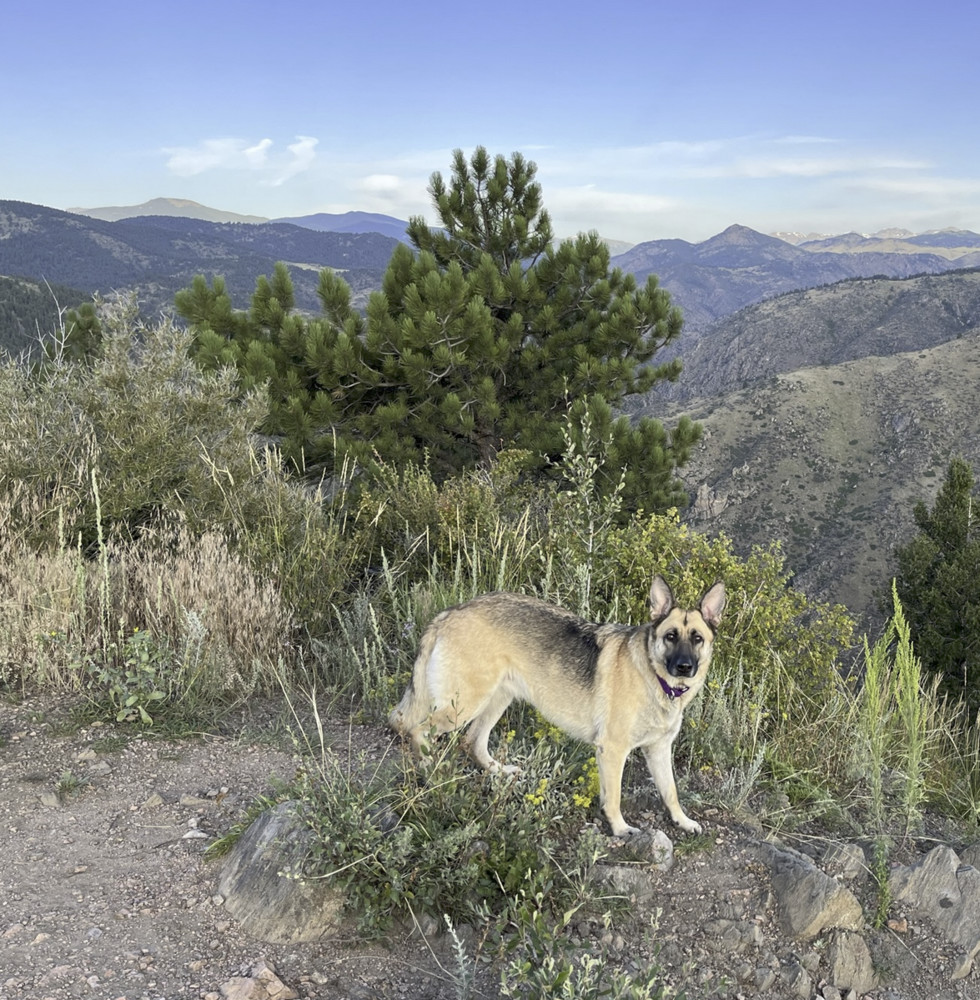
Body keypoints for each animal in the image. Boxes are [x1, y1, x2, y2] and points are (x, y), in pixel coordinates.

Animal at [390, 576, 728, 840]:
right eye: (670, 636)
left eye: (697, 639)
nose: (684, 668)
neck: (657, 679)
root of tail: (449, 613)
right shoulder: (613, 750)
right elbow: (614, 798)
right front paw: (619, 829)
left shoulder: (658, 750)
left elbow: (671, 792)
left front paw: (682, 821)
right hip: (465, 705)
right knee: (418, 730)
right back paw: (432, 774)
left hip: (496, 699)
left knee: (472, 741)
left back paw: (499, 771)